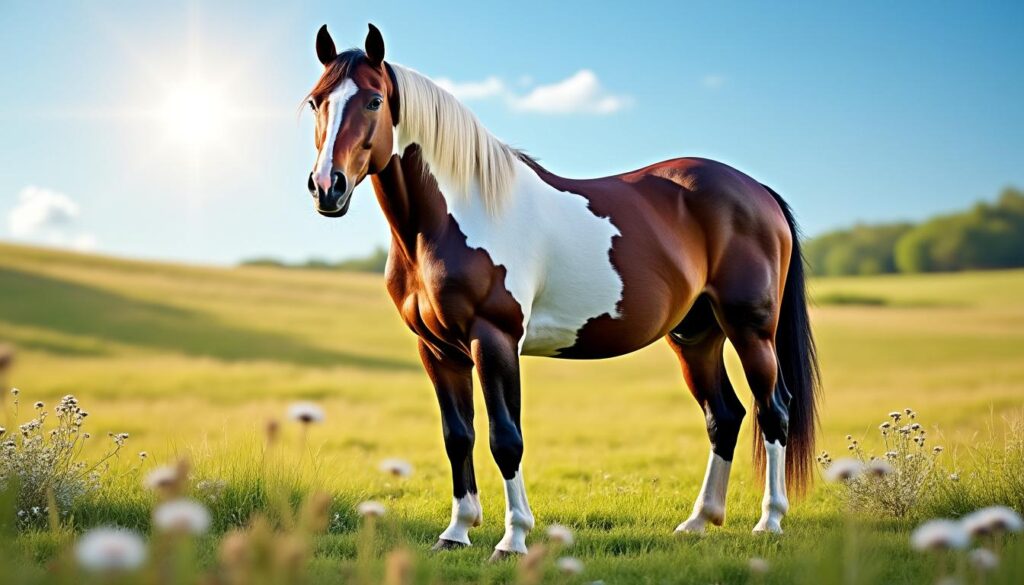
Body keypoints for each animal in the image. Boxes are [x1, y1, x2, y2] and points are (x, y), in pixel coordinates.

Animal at [303, 24, 820, 560]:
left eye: (374, 101)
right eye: (316, 101)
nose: (327, 186)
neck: (450, 219)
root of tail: (757, 190)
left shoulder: (494, 339)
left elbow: (505, 438)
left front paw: (513, 539)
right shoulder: (438, 350)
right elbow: (458, 436)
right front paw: (457, 532)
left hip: (750, 329)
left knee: (773, 411)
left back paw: (769, 522)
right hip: (696, 335)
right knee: (724, 415)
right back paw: (699, 521)